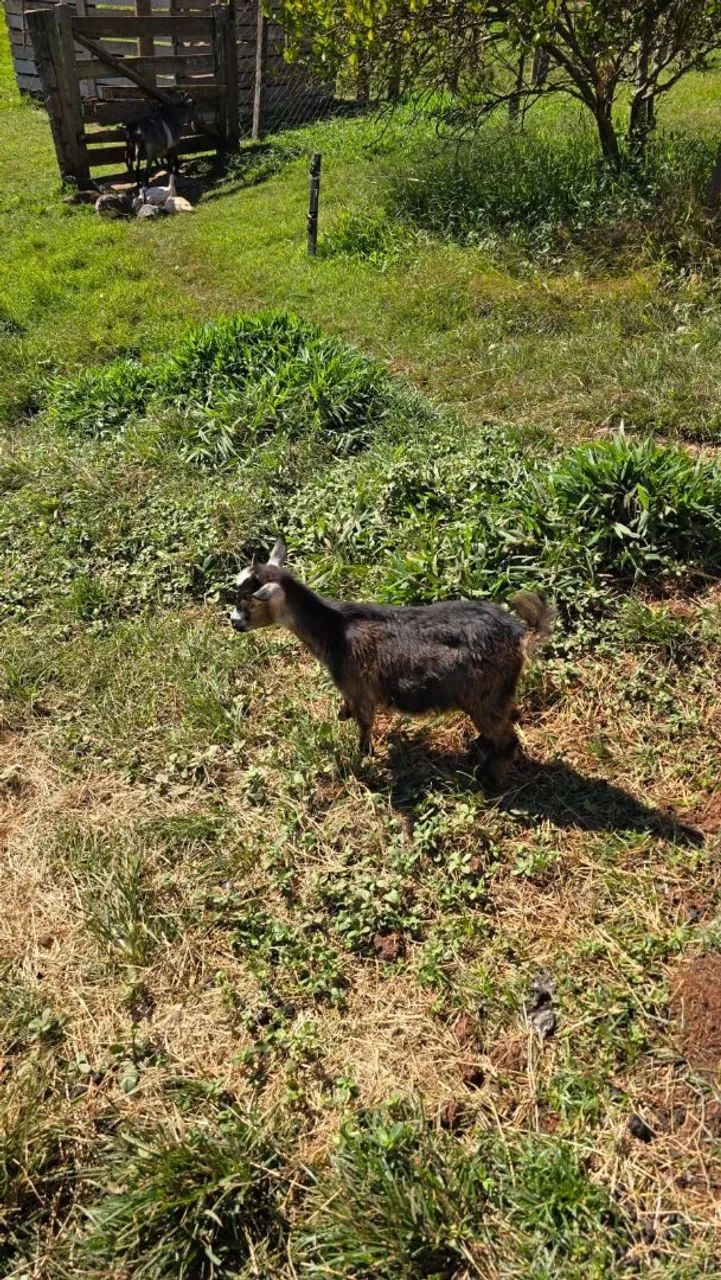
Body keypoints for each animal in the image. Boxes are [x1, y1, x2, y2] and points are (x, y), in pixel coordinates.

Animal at [228, 538, 554, 780]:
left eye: (248, 601)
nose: (233, 622)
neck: (335, 631)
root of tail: (520, 634)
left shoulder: (360, 689)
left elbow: (364, 726)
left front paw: (362, 756)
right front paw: (342, 714)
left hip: (483, 697)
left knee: (507, 740)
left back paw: (489, 776)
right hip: (496, 695)